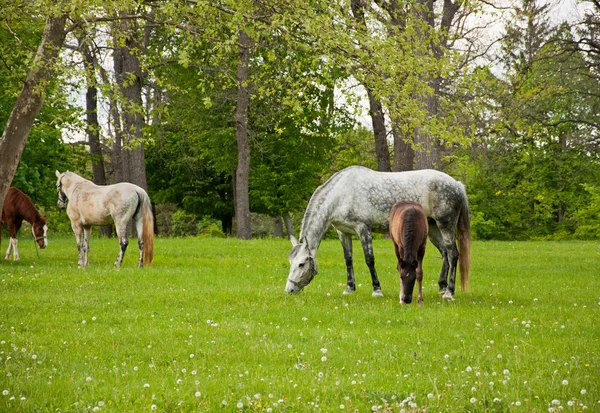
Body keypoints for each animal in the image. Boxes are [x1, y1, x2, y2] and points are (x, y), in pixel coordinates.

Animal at [284, 166, 472, 298]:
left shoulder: (363, 229)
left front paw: (377, 290)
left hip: (445, 225)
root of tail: (456, 184)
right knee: (445, 253)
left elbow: (369, 260)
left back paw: (449, 292)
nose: (290, 290)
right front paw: (349, 289)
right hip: (433, 228)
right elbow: (348, 260)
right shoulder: (343, 233)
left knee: (453, 254)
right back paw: (442, 287)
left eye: (301, 264)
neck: (341, 195)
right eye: (290, 262)